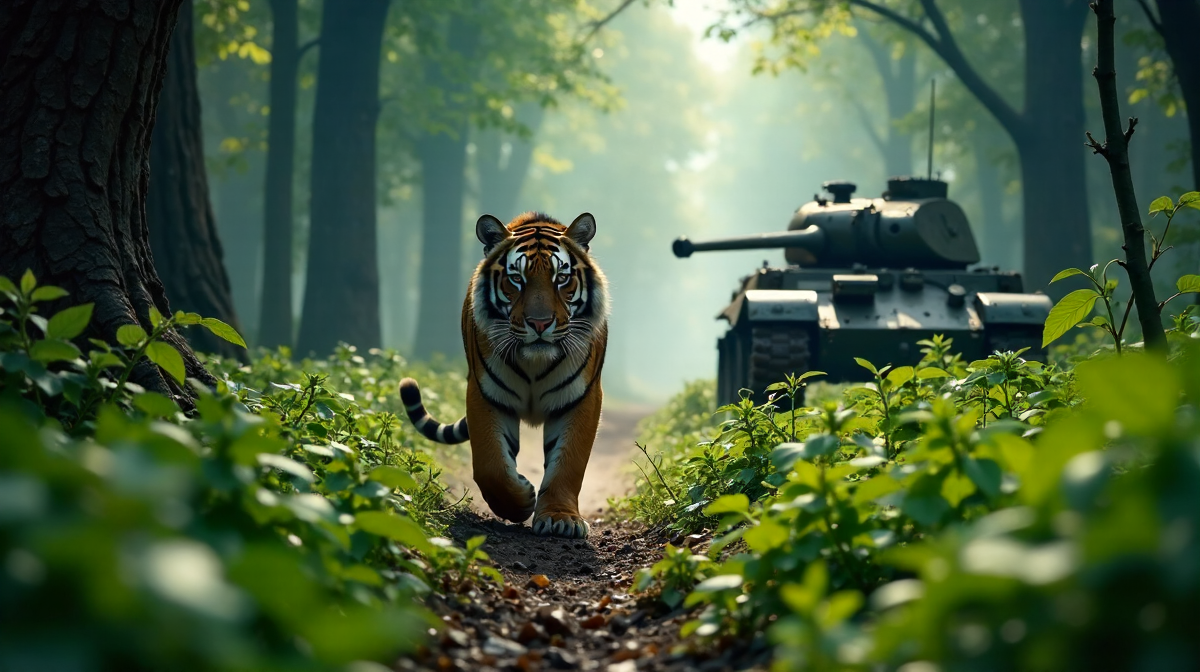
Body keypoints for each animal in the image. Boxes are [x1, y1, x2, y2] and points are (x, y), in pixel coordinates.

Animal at [399, 211, 609, 539]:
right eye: (516, 279)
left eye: (561, 278)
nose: (539, 323)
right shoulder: (486, 393)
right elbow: (491, 466)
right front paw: (521, 501)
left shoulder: (582, 398)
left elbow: (568, 464)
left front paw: (560, 519)